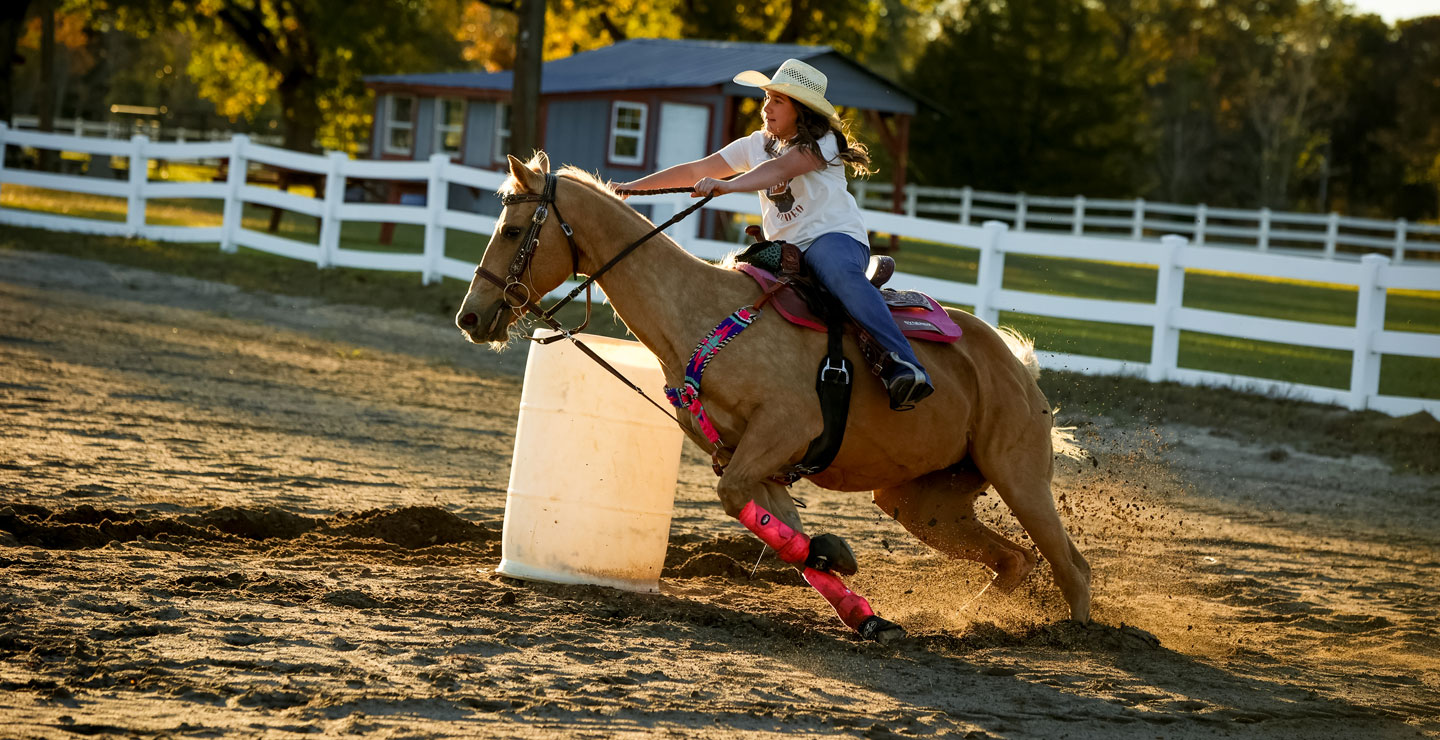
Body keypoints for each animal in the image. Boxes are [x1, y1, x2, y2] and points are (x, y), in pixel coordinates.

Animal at [460, 154, 1088, 633]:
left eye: (512, 231)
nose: (471, 317)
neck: (698, 314)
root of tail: (1018, 367)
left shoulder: (783, 430)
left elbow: (736, 501)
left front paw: (839, 563)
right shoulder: (754, 459)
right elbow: (781, 531)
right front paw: (857, 602)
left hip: (1019, 476)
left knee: (1070, 565)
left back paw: (1076, 635)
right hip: (923, 503)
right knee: (1016, 560)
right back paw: (967, 618)